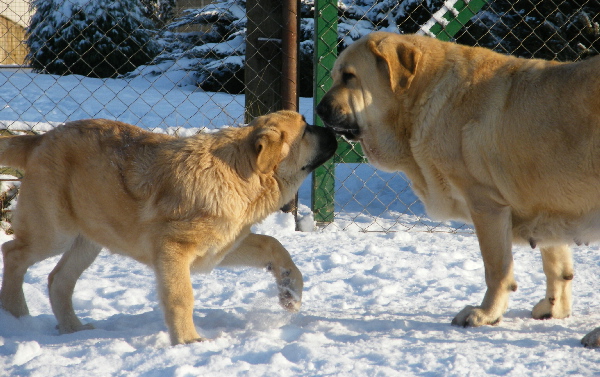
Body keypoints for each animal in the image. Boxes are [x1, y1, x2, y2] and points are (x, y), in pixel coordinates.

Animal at [0, 111, 338, 344]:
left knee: (58, 278)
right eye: (306, 129)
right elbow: (181, 296)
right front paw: (189, 341)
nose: (335, 129)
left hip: (88, 239)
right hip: (53, 231)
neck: (239, 175)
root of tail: (41, 138)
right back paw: (17, 318)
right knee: (13, 253)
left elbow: (273, 244)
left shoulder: (221, 247)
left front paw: (290, 289)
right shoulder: (173, 250)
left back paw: (73, 329)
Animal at [316, 32, 600, 346]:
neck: (420, 98)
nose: (318, 109)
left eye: (349, 77)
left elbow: (497, 269)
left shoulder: (486, 205)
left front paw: (486, 314)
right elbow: (557, 266)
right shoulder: (546, 203)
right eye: (334, 76)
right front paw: (555, 308)